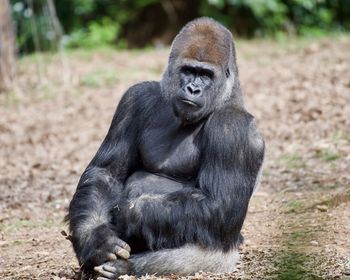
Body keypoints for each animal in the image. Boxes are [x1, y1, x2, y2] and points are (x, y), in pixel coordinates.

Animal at [67, 18, 266, 280]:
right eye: (188, 71)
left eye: (206, 75)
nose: (193, 89)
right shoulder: (134, 99)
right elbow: (105, 172)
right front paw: (98, 239)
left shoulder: (232, 127)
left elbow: (219, 204)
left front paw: (130, 212)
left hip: (227, 254)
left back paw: (126, 268)